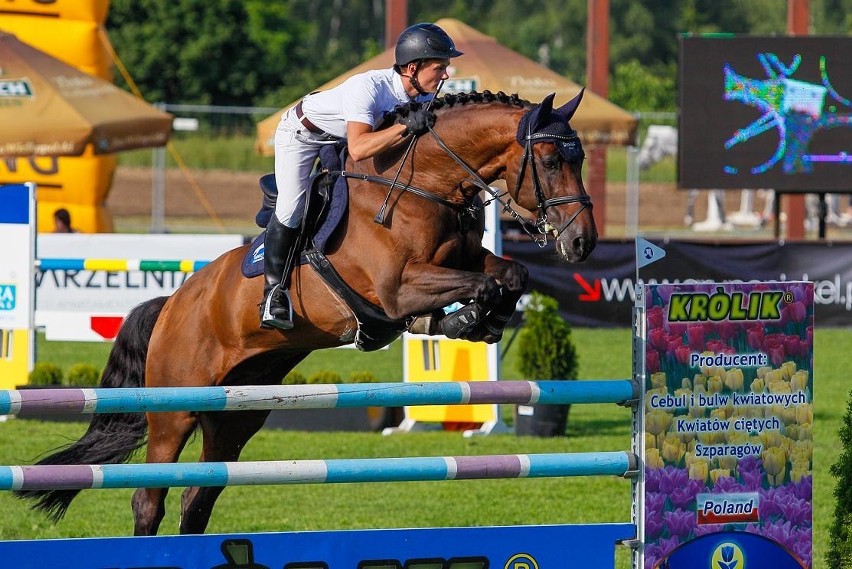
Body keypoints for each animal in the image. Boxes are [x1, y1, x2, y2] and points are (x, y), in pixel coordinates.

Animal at [16, 89, 596, 532]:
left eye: (580, 159)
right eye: (550, 162)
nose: (583, 242)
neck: (422, 185)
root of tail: (172, 303)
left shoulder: (463, 259)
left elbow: (508, 275)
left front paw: (480, 319)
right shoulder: (396, 289)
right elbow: (478, 284)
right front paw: (460, 318)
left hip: (235, 418)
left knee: (197, 499)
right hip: (174, 411)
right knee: (149, 499)